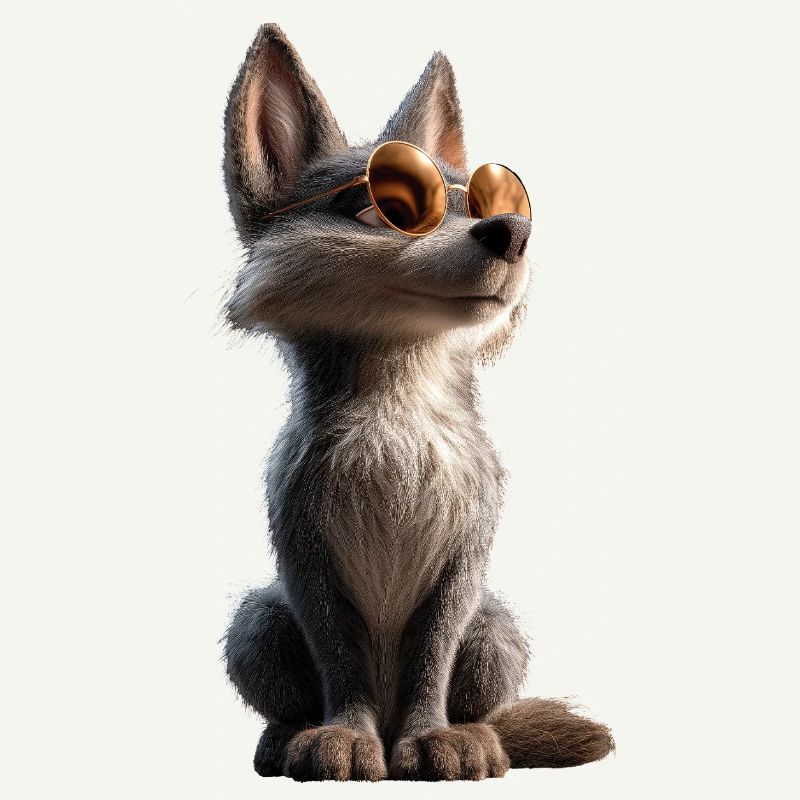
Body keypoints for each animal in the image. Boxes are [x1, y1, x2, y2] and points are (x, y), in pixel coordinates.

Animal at [222, 23, 613, 781]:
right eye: (385, 208)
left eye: (490, 202)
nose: (513, 232)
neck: (399, 422)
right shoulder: (303, 548)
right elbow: (339, 654)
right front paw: (343, 736)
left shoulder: (467, 550)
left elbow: (435, 649)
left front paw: (434, 739)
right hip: (256, 622)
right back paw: (288, 736)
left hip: (497, 630)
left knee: (482, 697)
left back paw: (475, 734)